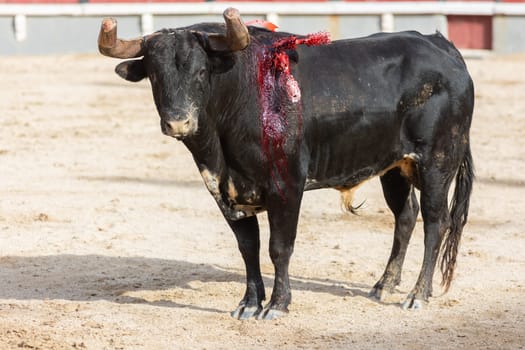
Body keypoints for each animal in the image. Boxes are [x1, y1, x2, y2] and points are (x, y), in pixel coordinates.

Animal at [96, 8, 472, 320]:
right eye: (154, 76)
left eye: (201, 72)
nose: (178, 123)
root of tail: (441, 45)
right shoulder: (225, 191)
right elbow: (248, 248)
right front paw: (249, 304)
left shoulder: (287, 186)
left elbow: (279, 248)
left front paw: (277, 304)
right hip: (393, 167)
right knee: (405, 216)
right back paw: (383, 285)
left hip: (437, 162)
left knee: (435, 222)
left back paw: (417, 295)